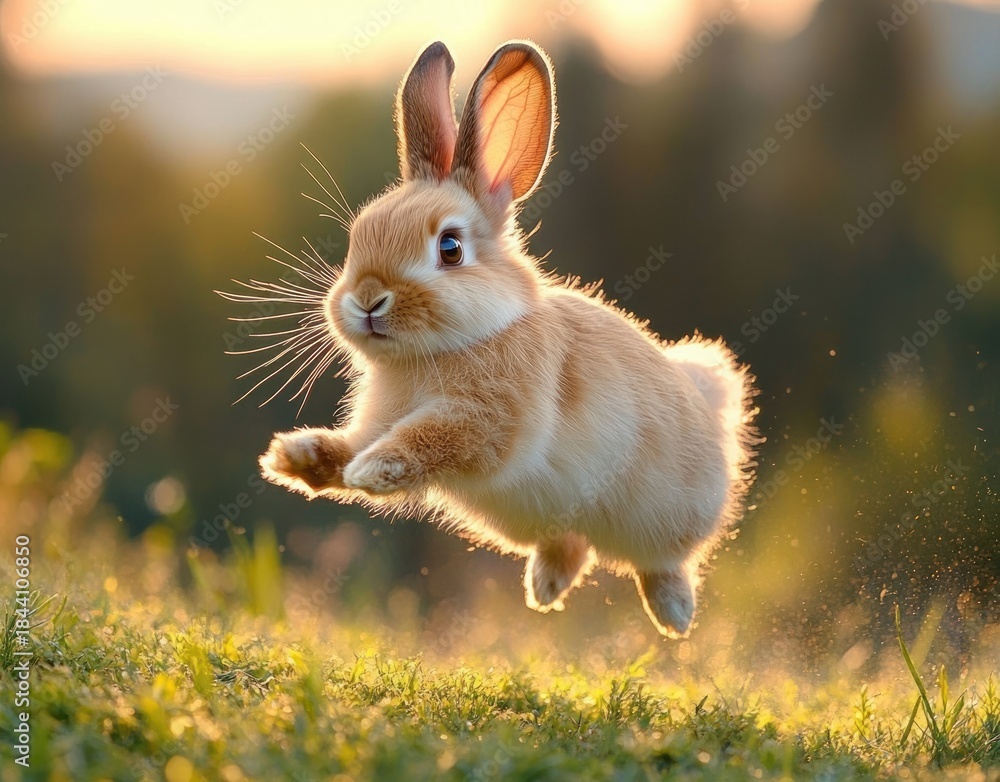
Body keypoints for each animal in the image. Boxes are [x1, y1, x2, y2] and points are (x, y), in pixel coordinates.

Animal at [255, 39, 758, 638]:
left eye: (450, 248)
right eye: (358, 236)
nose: (368, 298)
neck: (445, 348)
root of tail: (710, 401)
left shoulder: (489, 419)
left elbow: (430, 438)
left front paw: (370, 470)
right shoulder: (381, 420)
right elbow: (356, 442)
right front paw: (293, 458)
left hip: (665, 518)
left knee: (666, 560)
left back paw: (674, 616)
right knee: (571, 545)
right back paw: (545, 590)